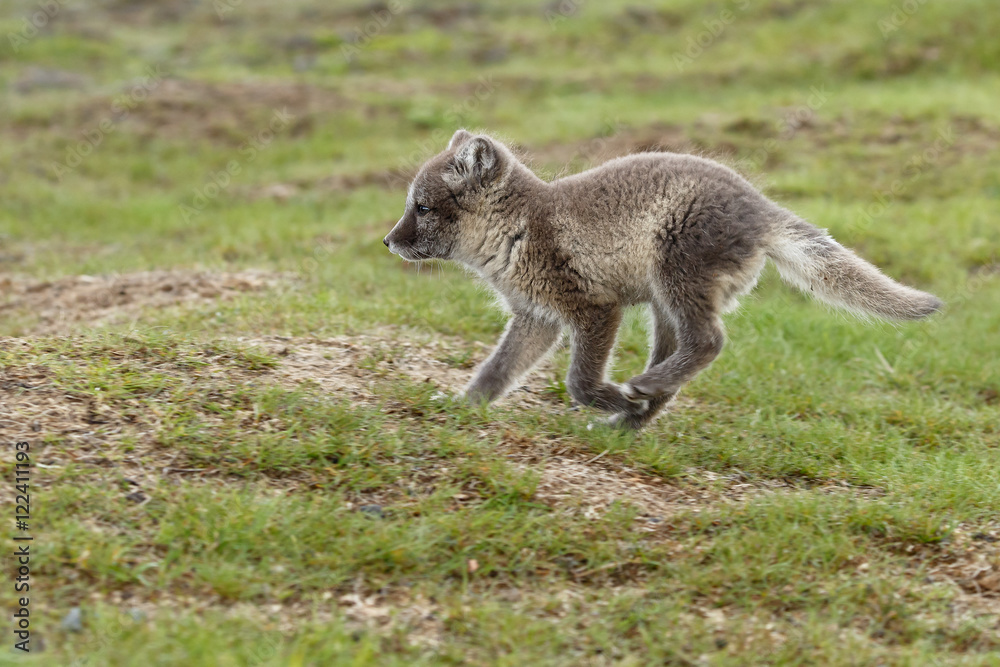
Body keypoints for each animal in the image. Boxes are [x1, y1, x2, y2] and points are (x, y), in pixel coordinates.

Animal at [383, 129, 943, 429]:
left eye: (422, 207)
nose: (387, 241)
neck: (519, 229)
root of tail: (763, 208)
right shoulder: (537, 318)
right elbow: (496, 371)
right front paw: (463, 407)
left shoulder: (594, 308)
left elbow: (579, 382)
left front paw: (610, 396)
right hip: (662, 306)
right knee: (683, 364)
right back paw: (629, 420)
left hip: (677, 280)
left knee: (710, 342)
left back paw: (638, 394)